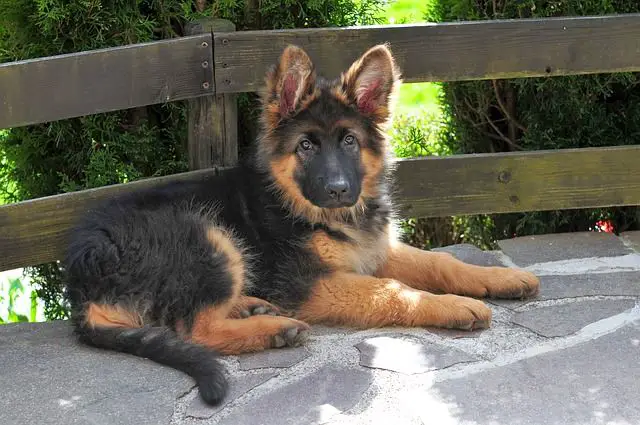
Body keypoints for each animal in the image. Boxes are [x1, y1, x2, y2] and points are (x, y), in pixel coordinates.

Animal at [62, 43, 540, 404]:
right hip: (207, 236)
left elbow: (442, 262)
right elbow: (391, 290)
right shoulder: (310, 283)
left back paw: (251, 306)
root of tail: (80, 280)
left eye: (349, 141)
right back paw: (274, 329)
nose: (339, 189)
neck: (317, 211)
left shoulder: (375, 250)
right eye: (306, 146)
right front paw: (455, 306)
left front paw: (500, 278)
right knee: (197, 329)